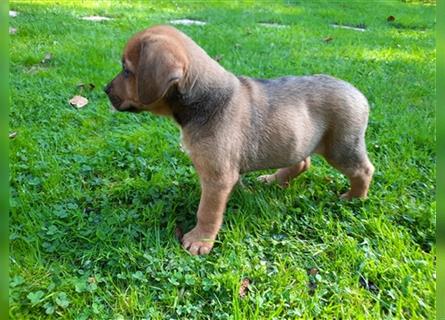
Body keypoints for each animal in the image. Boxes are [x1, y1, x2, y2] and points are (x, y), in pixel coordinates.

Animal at [105, 24, 374, 255]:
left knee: (363, 170)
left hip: (341, 147)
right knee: (301, 162)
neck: (203, 99)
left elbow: (207, 211)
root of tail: (359, 94)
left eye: (127, 71)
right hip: (297, 141)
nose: (105, 90)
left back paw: (354, 198)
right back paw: (273, 180)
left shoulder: (217, 178)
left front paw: (200, 240)